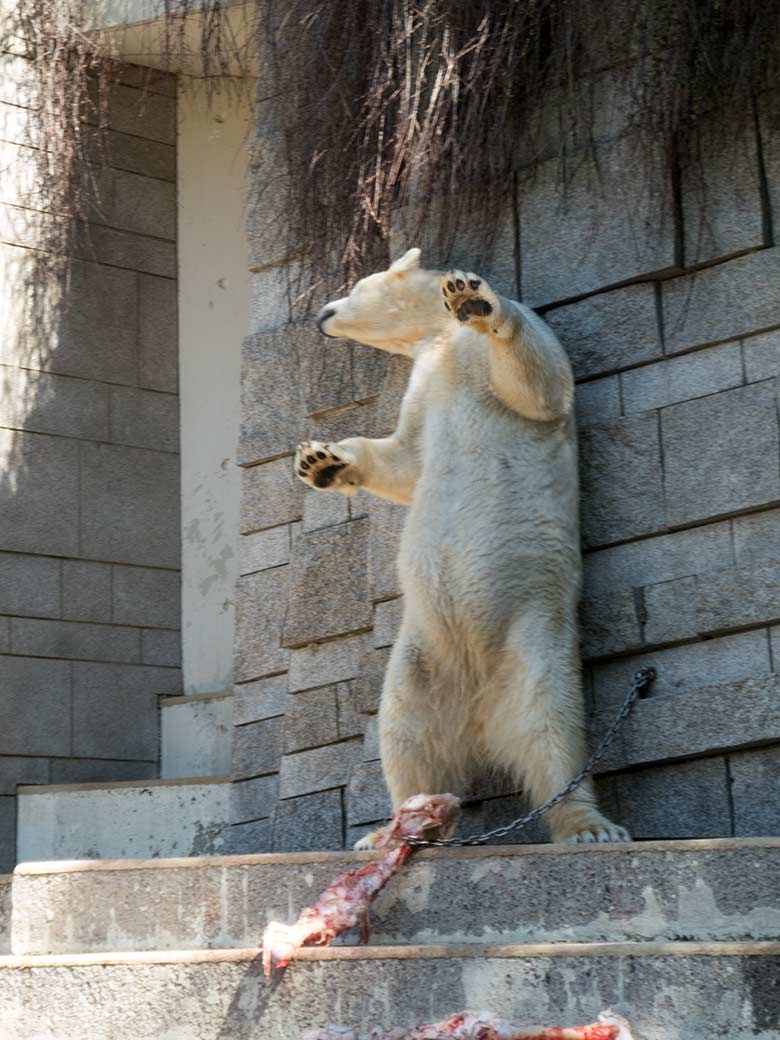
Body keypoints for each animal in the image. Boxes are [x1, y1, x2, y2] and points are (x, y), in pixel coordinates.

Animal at [295, 247, 632, 848]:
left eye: (357, 285)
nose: (322, 313)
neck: (440, 338)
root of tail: (478, 717)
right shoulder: (424, 383)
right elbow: (404, 461)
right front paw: (322, 461)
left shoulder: (502, 344)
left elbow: (537, 388)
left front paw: (475, 300)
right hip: (421, 657)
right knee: (404, 734)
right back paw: (391, 829)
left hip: (534, 636)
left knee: (553, 728)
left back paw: (588, 826)